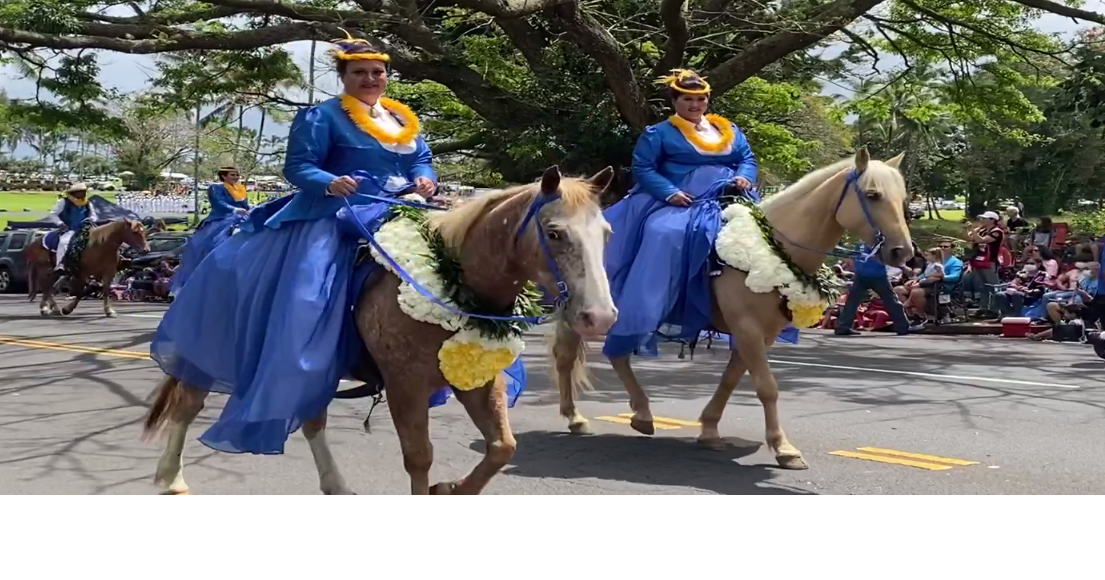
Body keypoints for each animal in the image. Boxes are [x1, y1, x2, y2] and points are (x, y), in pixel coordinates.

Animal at [556, 149, 910, 470]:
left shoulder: (760, 334)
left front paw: (710, 429)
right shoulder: (748, 327)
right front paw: (783, 448)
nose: (902, 252)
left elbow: (731, 379)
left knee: (613, 354)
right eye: (873, 194)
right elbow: (767, 387)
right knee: (572, 355)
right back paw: (581, 417)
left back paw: (637, 413)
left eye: (903, 197)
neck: (775, 248)